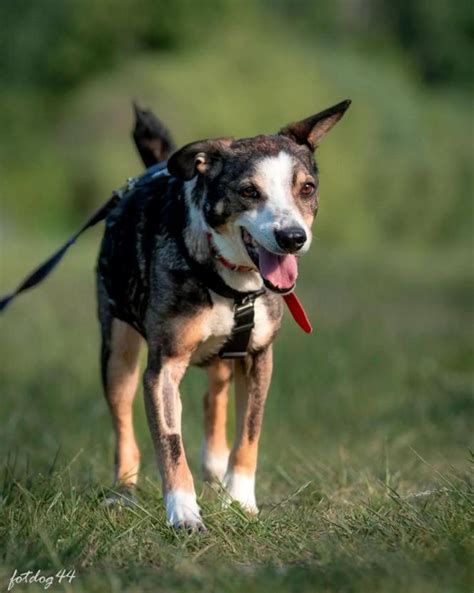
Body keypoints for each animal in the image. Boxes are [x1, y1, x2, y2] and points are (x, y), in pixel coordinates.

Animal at [96, 99, 350, 528]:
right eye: (248, 191)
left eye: (307, 188)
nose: (293, 238)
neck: (230, 280)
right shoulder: (163, 367)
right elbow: (170, 443)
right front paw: (184, 513)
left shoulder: (259, 356)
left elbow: (249, 433)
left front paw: (241, 500)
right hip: (117, 350)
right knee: (123, 423)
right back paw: (123, 491)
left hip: (224, 353)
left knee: (213, 396)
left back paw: (215, 473)